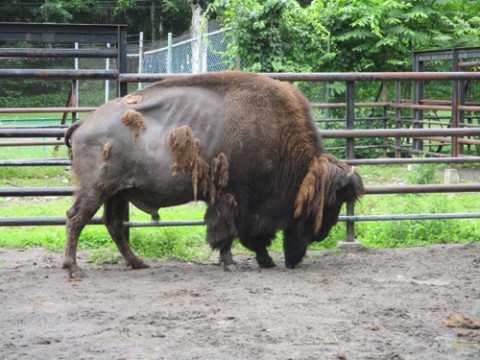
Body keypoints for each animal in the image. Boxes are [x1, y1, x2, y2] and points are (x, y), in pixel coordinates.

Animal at [63, 71, 364, 278]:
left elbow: (250, 235)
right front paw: (230, 263)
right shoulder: (233, 196)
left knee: (112, 223)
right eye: (327, 204)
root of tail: (83, 122)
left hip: (117, 192)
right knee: (76, 218)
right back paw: (74, 268)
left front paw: (265, 260)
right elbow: (230, 231)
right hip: (97, 189)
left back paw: (137, 262)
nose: (321, 235)